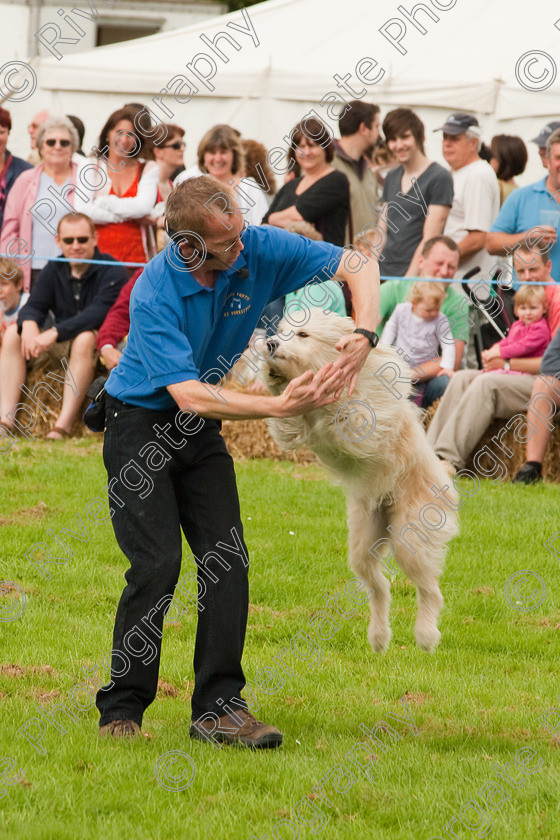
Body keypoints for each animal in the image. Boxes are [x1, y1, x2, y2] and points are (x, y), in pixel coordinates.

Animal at [262, 310, 460, 656]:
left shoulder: (365, 422)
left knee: (429, 590)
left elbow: (348, 416)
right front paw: (273, 377)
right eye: (282, 331)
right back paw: (379, 637)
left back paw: (425, 635)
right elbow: (290, 422)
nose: (271, 343)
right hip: (363, 543)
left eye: (302, 334)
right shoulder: (293, 427)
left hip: (411, 537)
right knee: (381, 588)